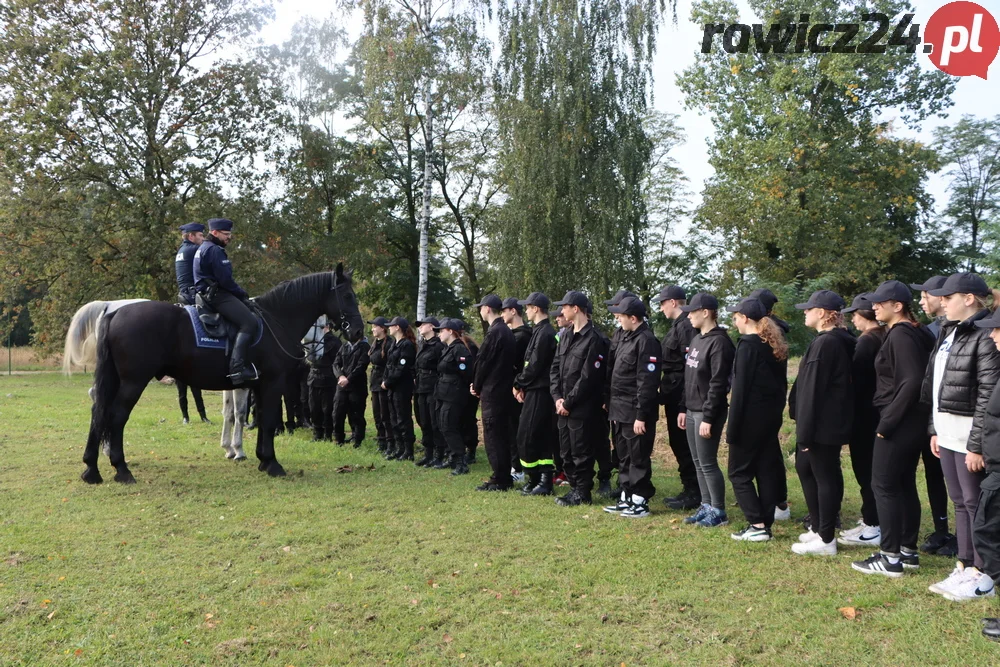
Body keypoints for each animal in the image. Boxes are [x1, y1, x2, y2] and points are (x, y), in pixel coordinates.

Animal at [82, 266, 364, 486]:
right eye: (347, 295)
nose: (358, 331)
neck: (277, 319)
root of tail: (115, 311)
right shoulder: (272, 383)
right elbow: (267, 421)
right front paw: (271, 464)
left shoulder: (258, 385)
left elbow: (257, 418)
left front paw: (260, 459)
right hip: (133, 382)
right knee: (116, 417)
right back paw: (121, 468)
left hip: (116, 380)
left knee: (98, 413)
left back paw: (91, 470)